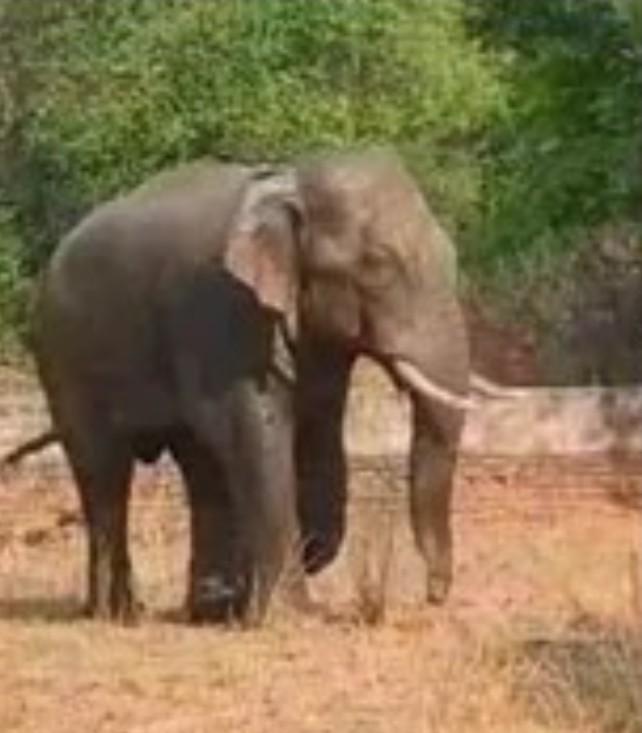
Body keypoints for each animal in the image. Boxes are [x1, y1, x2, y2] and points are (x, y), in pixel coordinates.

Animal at [20, 150, 504, 625]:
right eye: (378, 264)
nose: (433, 596)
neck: (291, 181)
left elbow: (317, 431)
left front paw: (281, 583)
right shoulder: (225, 312)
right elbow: (258, 436)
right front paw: (292, 616)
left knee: (200, 467)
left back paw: (209, 611)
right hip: (65, 356)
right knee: (104, 472)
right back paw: (117, 614)